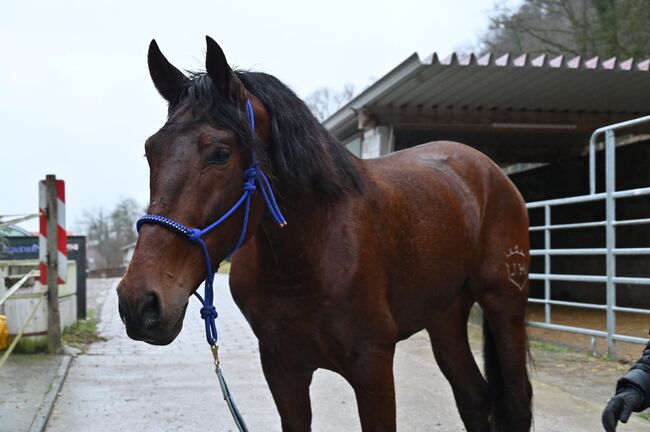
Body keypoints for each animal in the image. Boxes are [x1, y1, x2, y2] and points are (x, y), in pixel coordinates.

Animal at [116, 38, 532, 432]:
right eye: (151, 152)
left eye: (220, 153)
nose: (139, 302)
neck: (307, 256)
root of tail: (487, 168)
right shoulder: (283, 369)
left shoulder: (373, 367)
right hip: (444, 315)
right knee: (473, 397)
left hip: (503, 303)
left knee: (516, 402)